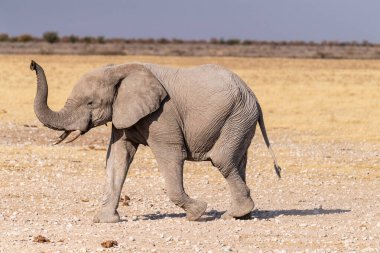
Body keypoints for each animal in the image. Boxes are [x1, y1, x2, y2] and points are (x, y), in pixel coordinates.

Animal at [30, 60, 282, 222]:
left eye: (91, 103)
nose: (32, 64)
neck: (119, 68)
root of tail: (253, 96)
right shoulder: (124, 114)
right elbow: (117, 158)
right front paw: (105, 220)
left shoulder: (162, 115)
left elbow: (171, 155)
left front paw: (197, 213)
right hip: (240, 120)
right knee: (238, 162)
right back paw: (241, 215)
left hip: (236, 117)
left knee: (222, 160)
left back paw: (232, 215)